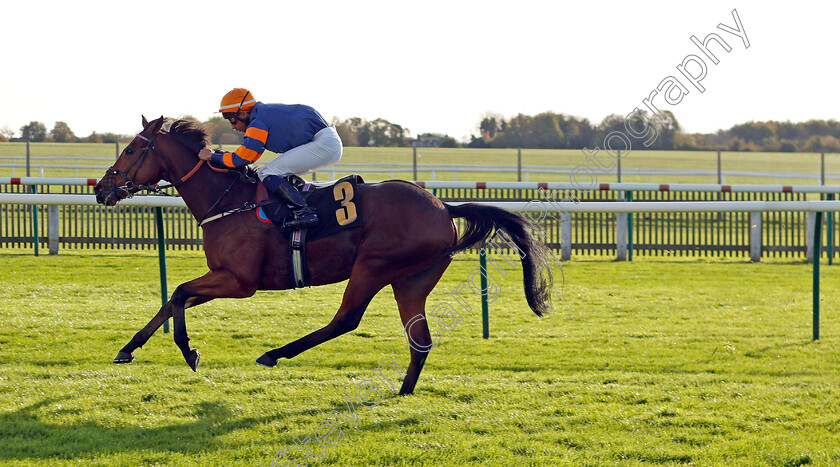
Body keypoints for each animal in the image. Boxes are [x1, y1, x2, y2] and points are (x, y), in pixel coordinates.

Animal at [95, 116, 556, 394]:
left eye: (132, 150)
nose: (102, 189)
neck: (228, 199)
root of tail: (443, 205)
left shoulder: (240, 281)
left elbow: (177, 293)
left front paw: (188, 351)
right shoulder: (224, 277)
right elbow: (173, 298)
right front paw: (129, 349)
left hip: (373, 266)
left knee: (346, 319)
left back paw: (273, 354)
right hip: (411, 279)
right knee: (419, 339)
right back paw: (404, 390)